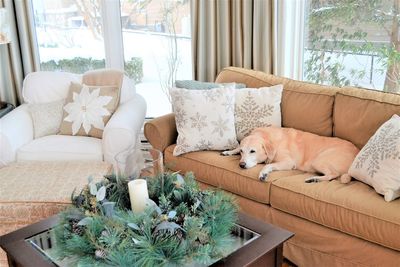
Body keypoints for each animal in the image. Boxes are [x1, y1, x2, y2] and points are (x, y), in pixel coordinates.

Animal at [222, 127, 360, 184]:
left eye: (252, 151)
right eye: (242, 151)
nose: (241, 164)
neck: (268, 137)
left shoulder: (288, 162)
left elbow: (268, 165)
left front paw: (263, 173)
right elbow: (236, 147)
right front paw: (229, 151)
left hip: (318, 160)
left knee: (334, 174)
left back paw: (314, 179)